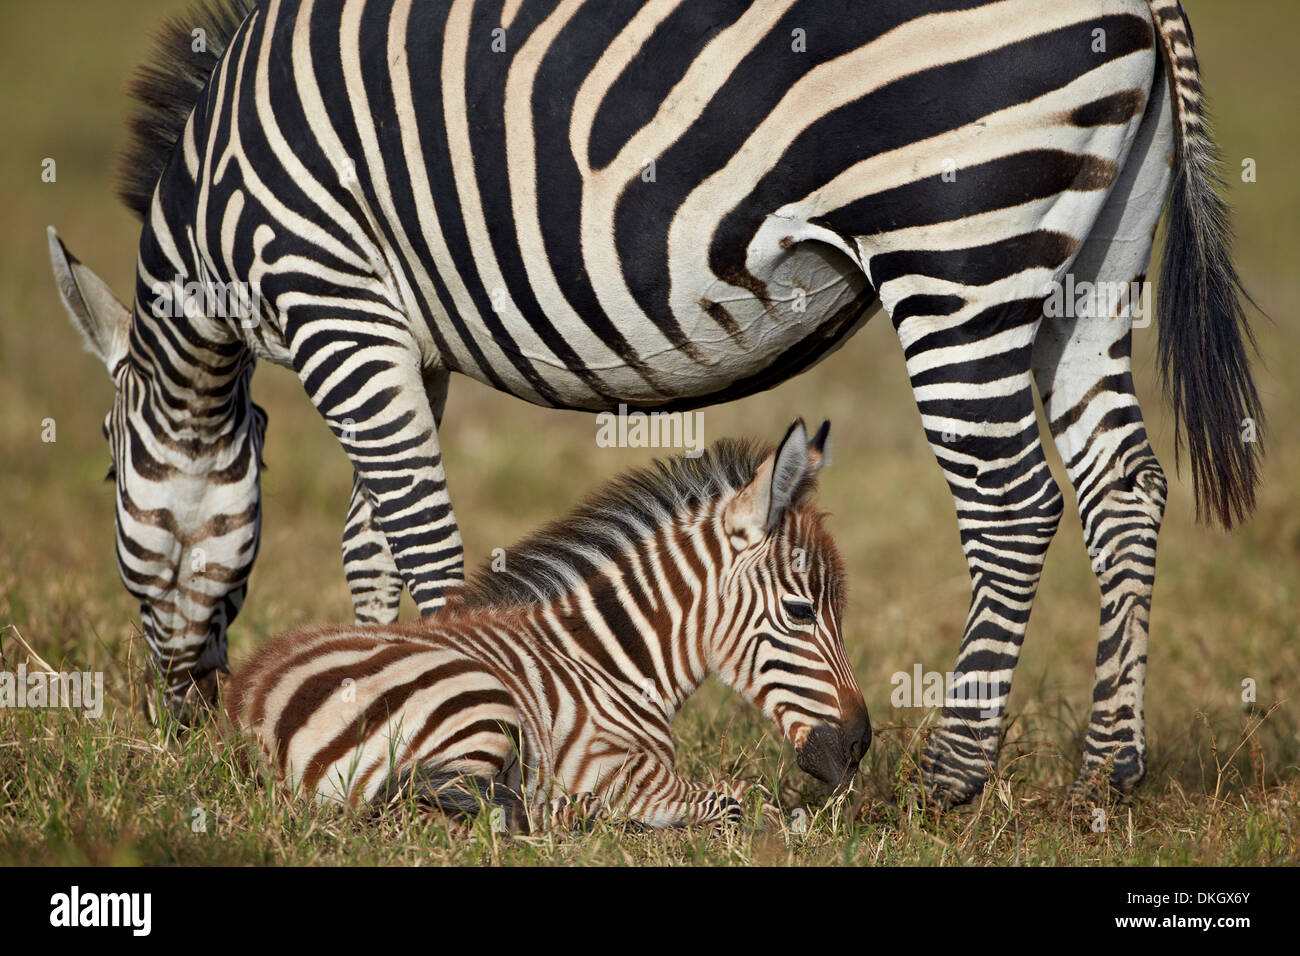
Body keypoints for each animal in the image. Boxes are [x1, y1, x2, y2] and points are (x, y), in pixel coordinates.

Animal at [227, 418, 868, 832]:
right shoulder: (612, 764)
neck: (612, 662)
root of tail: (249, 704)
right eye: (801, 610)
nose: (859, 745)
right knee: (428, 804)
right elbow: (744, 801)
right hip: (478, 703)